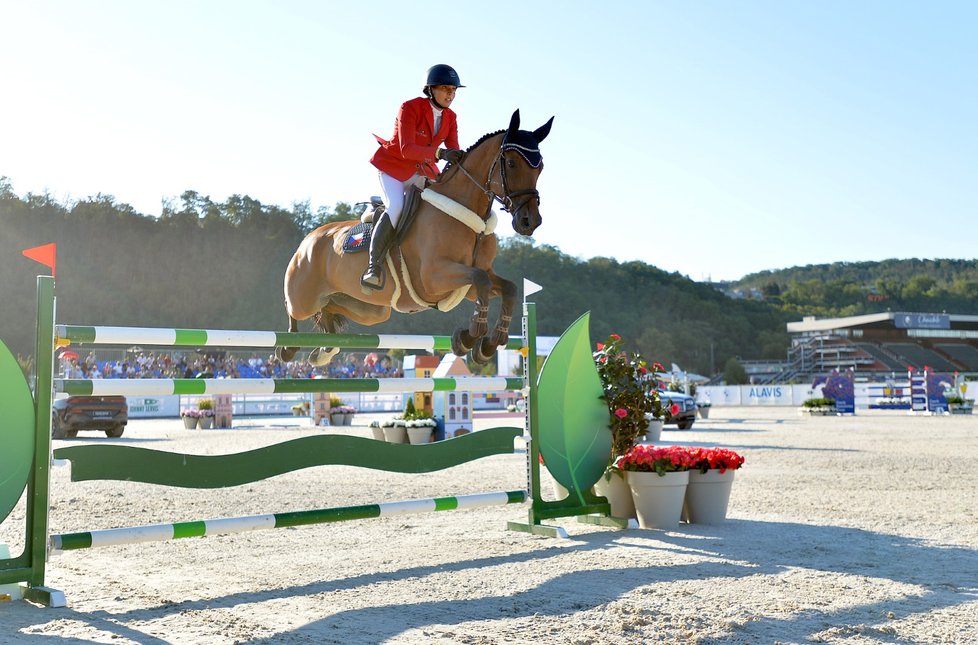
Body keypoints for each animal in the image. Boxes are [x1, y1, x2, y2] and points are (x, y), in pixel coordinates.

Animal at [276, 108, 548, 364]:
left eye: (541, 168)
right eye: (511, 164)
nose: (529, 222)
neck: (472, 219)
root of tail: (309, 238)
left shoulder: (469, 284)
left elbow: (508, 288)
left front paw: (488, 345)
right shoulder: (433, 277)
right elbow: (481, 280)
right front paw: (470, 338)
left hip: (371, 310)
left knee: (330, 308)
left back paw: (324, 350)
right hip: (305, 298)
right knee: (294, 309)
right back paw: (288, 349)